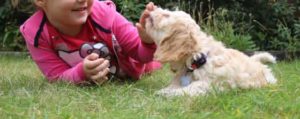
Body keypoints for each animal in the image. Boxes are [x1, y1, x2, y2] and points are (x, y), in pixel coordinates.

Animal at [145, 7, 276, 96]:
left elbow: (193, 86)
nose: (152, 9)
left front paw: (170, 93)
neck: (197, 57)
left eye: (166, 15)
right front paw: (167, 89)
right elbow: (174, 85)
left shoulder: (212, 84)